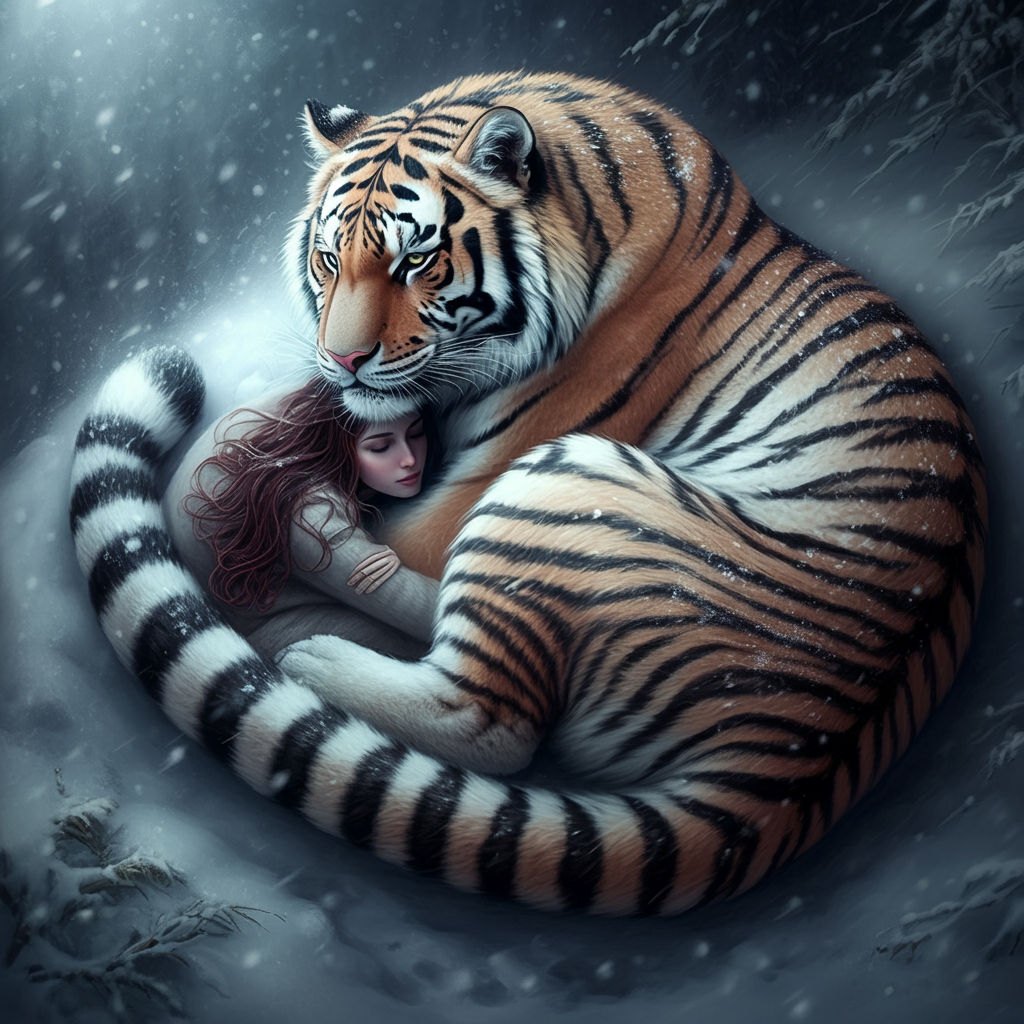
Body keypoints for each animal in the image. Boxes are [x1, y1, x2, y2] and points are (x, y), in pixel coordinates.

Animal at [70, 71, 987, 916]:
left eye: (414, 260)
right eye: (330, 258)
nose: (340, 364)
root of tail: (790, 765)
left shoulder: (468, 489)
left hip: (564, 485)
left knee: (489, 721)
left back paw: (312, 658)